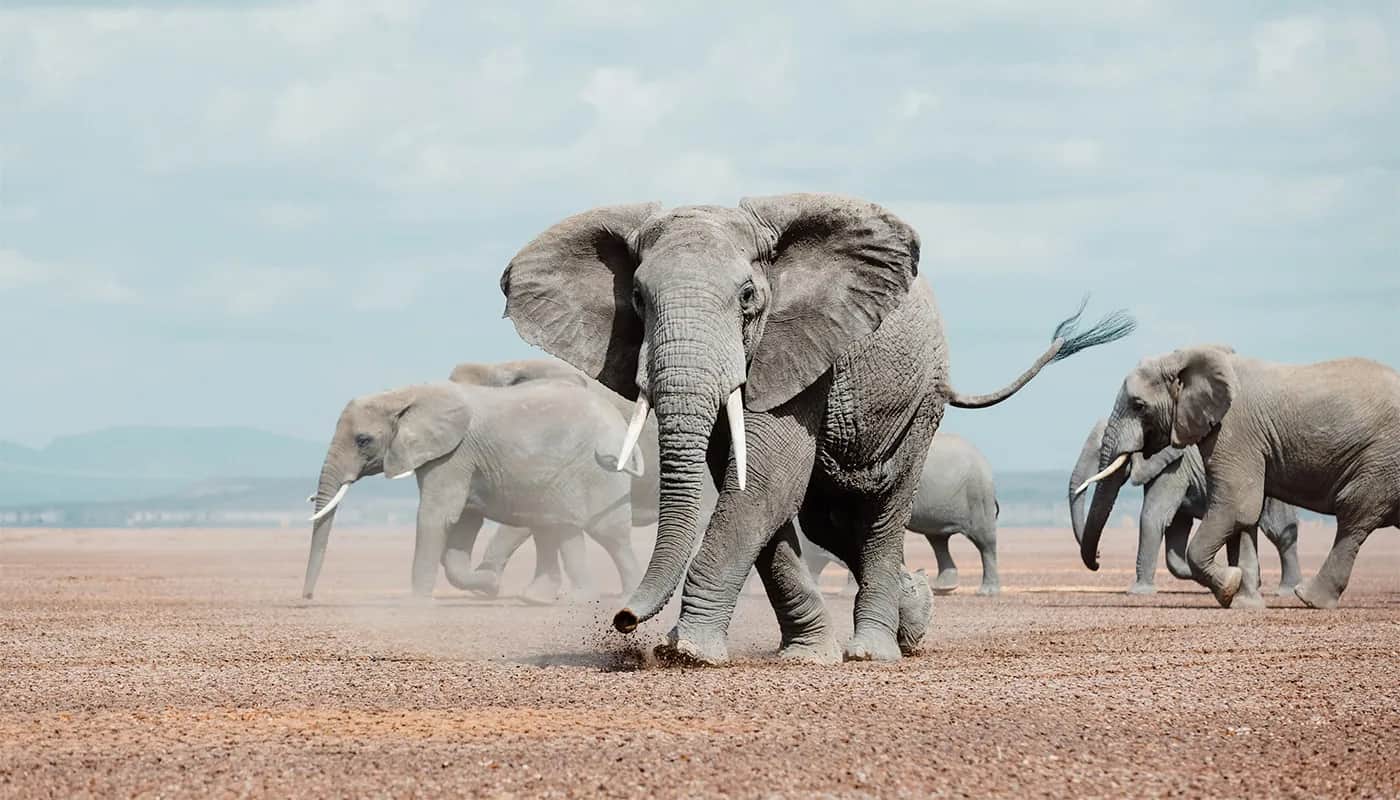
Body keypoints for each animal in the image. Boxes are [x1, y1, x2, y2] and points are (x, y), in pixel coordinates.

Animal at [301, 379, 643, 605]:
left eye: (363, 440)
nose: (308, 597)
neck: (407, 393)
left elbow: (438, 516)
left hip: (600, 472)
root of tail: (622, 426)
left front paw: (417, 602)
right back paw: (558, 599)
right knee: (560, 529)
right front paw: (490, 585)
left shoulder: (454, 455)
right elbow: (464, 523)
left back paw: (625, 597)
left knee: (609, 534)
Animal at [1070, 418, 1302, 598]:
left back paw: (1286, 592)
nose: (1099, 557)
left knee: (1278, 532)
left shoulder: (1175, 468)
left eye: (1103, 450)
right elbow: (1176, 527)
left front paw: (1138, 592)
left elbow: (1152, 516)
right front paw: (1218, 576)